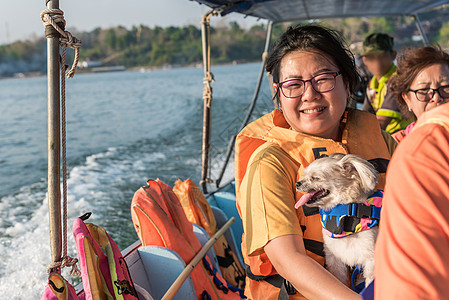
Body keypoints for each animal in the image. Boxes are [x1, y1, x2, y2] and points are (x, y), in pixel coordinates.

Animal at [296, 154, 380, 288]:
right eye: (305, 175)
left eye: (315, 178)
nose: (297, 183)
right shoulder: (334, 258)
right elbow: (339, 278)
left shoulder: (371, 259)